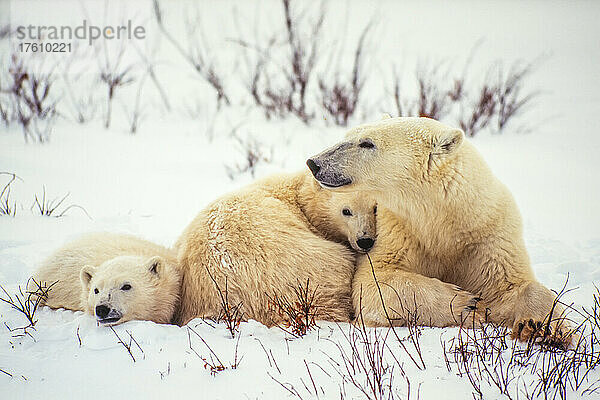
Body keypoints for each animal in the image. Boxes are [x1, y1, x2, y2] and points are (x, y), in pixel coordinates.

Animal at [310, 116, 572, 346]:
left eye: (367, 143)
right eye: (348, 135)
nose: (314, 163)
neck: (443, 219)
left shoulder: (489, 233)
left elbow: (512, 286)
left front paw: (543, 328)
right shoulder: (399, 231)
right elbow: (377, 282)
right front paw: (466, 304)